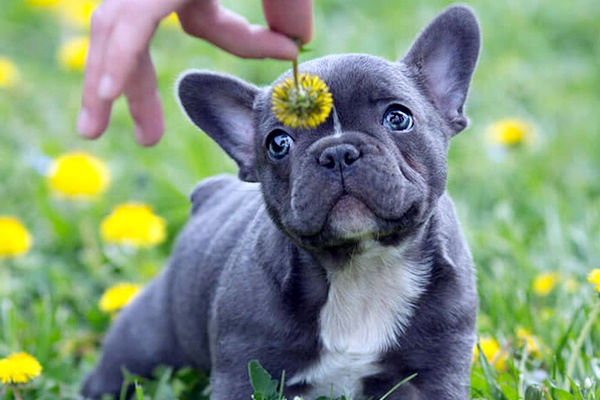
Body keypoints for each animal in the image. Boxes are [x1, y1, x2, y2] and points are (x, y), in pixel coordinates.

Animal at [82, 3, 480, 400]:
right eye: (278, 143)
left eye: (398, 118)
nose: (337, 152)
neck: (361, 267)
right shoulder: (243, 372)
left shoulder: (436, 369)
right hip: (141, 344)